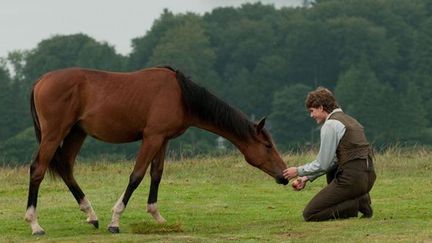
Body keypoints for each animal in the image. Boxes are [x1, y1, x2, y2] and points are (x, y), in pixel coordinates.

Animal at [23, 65, 286, 234]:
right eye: (267, 146)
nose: (284, 175)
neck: (180, 95)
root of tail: (40, 81)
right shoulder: (152, 137)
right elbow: (137, 176)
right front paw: (115, 220)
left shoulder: (163, 139)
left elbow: (156, 175)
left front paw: (157, 216)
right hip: (54, 133)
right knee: (38, 169)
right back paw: (35, 224)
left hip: (77, 133)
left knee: (66, 168)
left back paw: (91, 214)